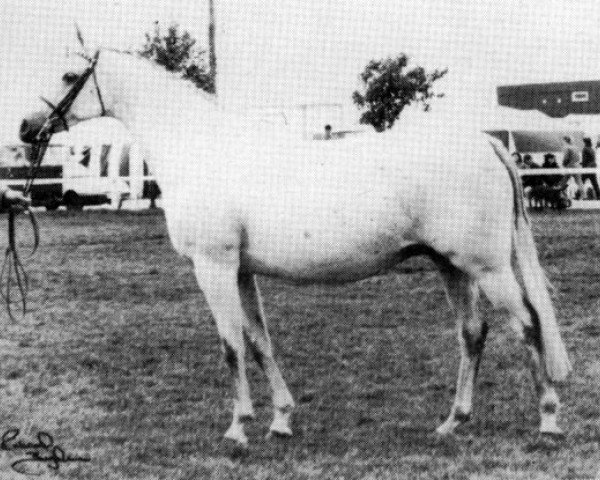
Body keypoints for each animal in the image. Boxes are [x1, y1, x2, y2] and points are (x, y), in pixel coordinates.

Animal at [19, 49, 572, 446]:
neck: (203, 149)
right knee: (473, 333)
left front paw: (237, 429)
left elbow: (230, 345)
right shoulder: (240, 271)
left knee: (526, 325)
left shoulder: (212, 266)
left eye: (69, 75)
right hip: (450, 265)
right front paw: (280, 421)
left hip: (487, 267)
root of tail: (485, 141)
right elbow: (259, 341)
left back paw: (547, 421)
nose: (26, 128)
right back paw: (453, 422)